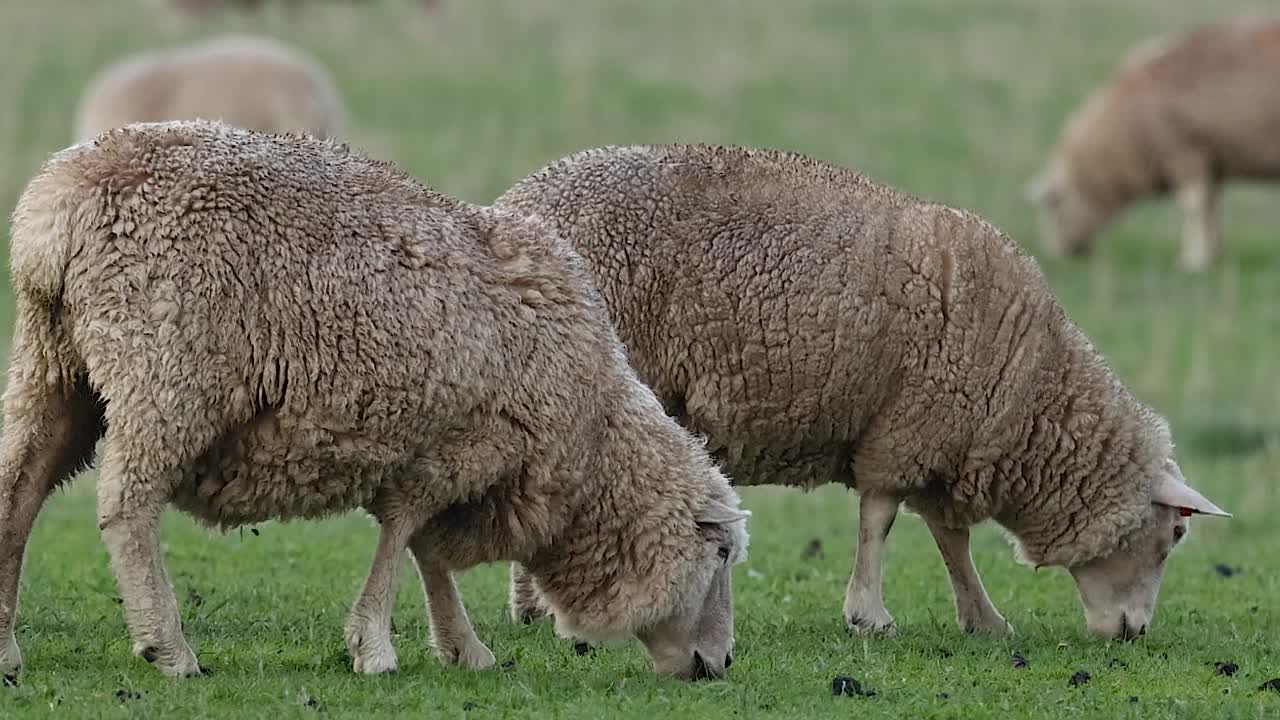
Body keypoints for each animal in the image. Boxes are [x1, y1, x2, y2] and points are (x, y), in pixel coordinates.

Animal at [0, 122, 750, 681]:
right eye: (720, 556)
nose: (718, 665)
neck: (592, 434)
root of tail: (57, 207)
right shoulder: (459, 447)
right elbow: (405, 535)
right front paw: (379, 647)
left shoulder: (433, 452)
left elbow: (426, 550)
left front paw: (461, 648)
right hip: (166, 373)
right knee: (126, 505)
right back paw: (170, 649)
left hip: (53, 365)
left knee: (19, 491)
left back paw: (8, 650)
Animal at [494, 143, 1231, 641]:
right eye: (1174, 535)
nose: (1135, 632)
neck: (1033, 394)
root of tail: (513, 202)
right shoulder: (910, 428)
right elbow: (880, 520)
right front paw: (869, 615)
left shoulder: (945, 440)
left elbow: (949, 540)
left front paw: (981, 617)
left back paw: (531, 609)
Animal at [1027, 16, 1280, 271]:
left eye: (1053, 205)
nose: (1059, 253)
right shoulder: (1211, 158)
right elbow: (1212, 208)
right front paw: (1213, 253)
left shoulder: (1183, 149)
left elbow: (1195, 206)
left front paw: (1193, 260)